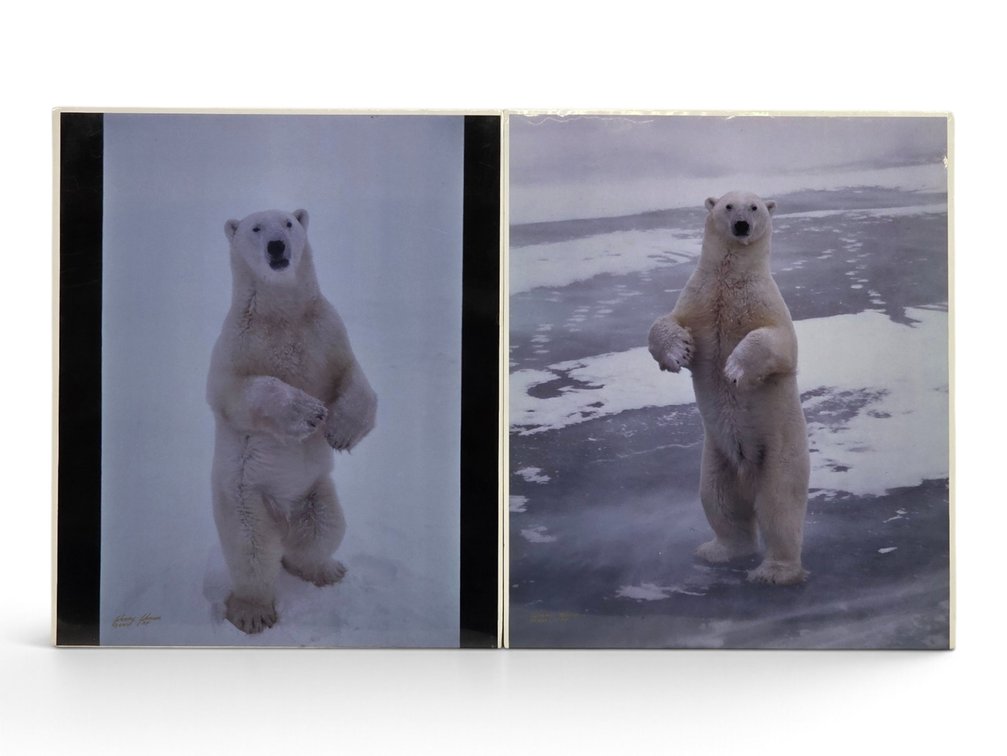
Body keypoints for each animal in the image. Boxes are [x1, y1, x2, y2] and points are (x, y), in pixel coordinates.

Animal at [206, 208, 377, 633]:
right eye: (255, 228)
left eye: (287, 223)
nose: (276, 246)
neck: (281, 312)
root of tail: (282, 516)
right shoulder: (239, 343)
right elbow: (238, 391)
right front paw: (309, 412)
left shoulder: (326, 331)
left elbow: (352, 376)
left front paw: (340, 431)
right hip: (243, 500)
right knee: (252, 553)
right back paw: (251, 611)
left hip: (315, 493)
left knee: (323, 531)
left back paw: (326, 569)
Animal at [647, 191, 810, 585]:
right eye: (727, 206)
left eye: (755, 207)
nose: (741, 226)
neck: (728, 280)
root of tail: (748, 474)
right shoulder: (698, 299)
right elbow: (665, 323)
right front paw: (678, 353)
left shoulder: (765, 303)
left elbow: (778, 342)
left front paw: (734, 369)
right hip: (716, 458)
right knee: (719, 500)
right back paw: (718, 550)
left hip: (782, 454)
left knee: (779, 507)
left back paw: (774, 571)